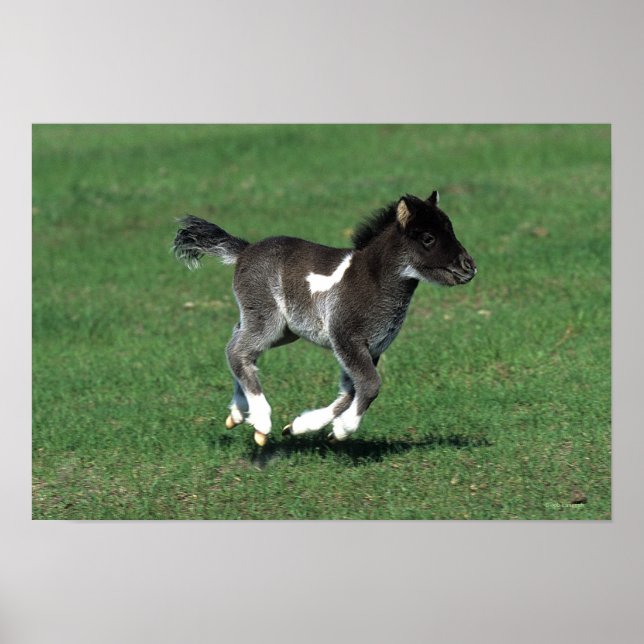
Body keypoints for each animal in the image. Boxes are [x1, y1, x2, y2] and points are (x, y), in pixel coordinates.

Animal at [173, 191, 476, 446]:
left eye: (451, 230)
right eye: (428, 238)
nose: (469, 267)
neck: (373, 280)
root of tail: (244, 251)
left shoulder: (371, 347)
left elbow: (350, 391)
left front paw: (300, 427)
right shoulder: (346, 337)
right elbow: (370, 385)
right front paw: (342, 430)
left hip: (282, 329)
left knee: (239, 344)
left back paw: (238, 413)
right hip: (267, 319)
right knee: (238, 351)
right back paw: (261, 421)